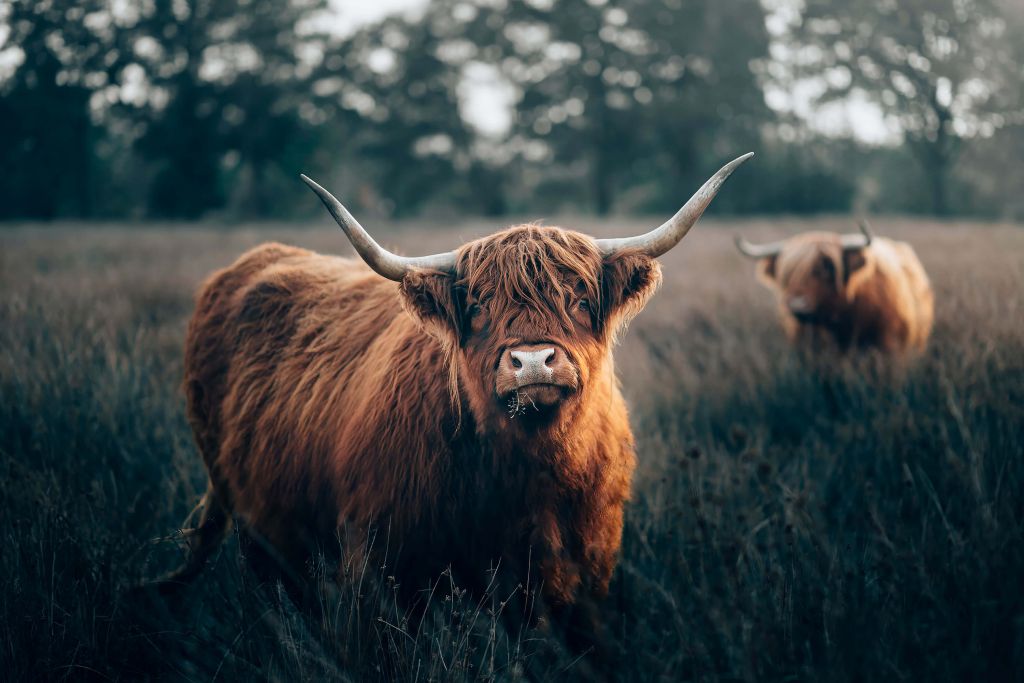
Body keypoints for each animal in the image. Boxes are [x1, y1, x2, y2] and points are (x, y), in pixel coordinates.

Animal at [161, 153, 753, 610]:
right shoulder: (374, 567)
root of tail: (253, 260)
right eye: (478, 307)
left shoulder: (584, 572)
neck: (526, 473)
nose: (532, 362)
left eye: (581, 300)